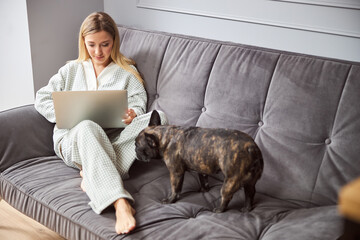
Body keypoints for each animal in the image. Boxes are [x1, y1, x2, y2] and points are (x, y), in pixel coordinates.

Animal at [135, 110, 264, 212]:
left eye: (138, 146)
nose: (135, 151)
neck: (166, 136)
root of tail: (252, 148)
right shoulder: (202, 168)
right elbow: (203, 179)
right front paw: (204, 189)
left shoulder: (176, 173)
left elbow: (175, 188)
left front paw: (170, 200)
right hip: (250, 181)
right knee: (250, 193)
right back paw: (247, 209)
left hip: (231, 180)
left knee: (226, 196)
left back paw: (218, 209)